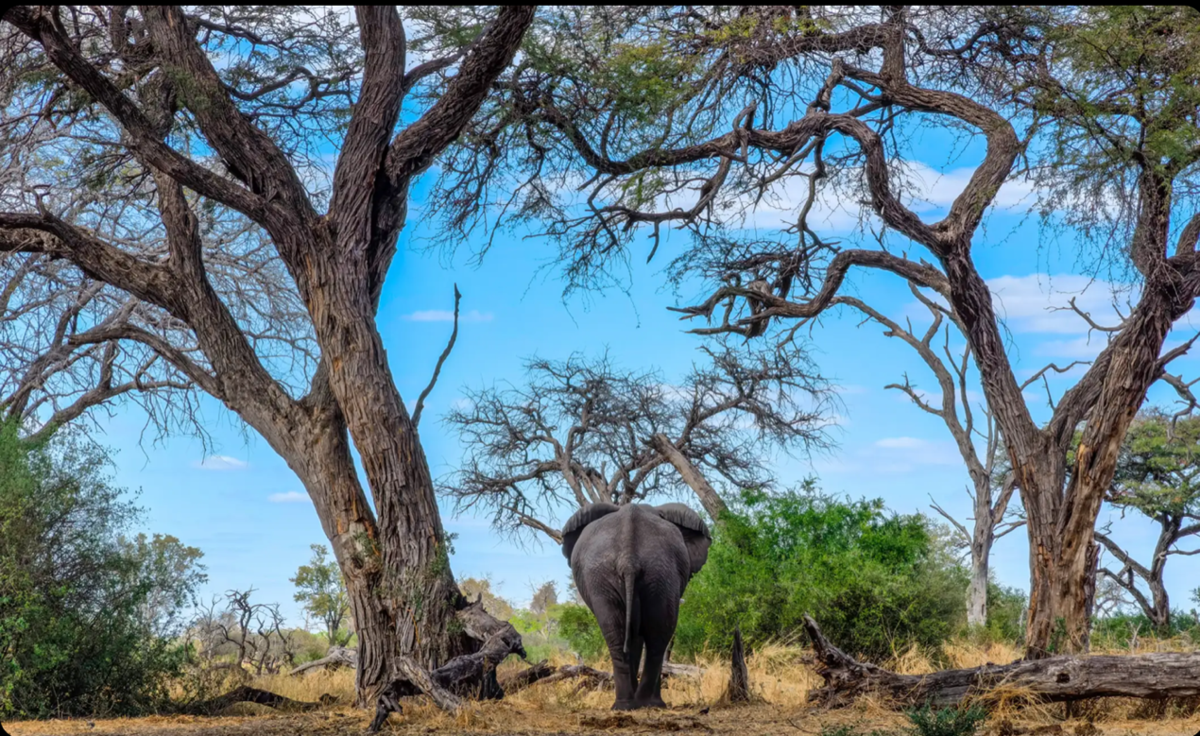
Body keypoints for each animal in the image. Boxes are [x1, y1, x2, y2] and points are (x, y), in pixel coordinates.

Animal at [561, 499, 710, 705]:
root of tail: (628, 558)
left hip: (646, 572)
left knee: (625, 634)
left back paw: (630, 704)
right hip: (650, 572)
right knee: (655, 634)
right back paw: (644, 703)